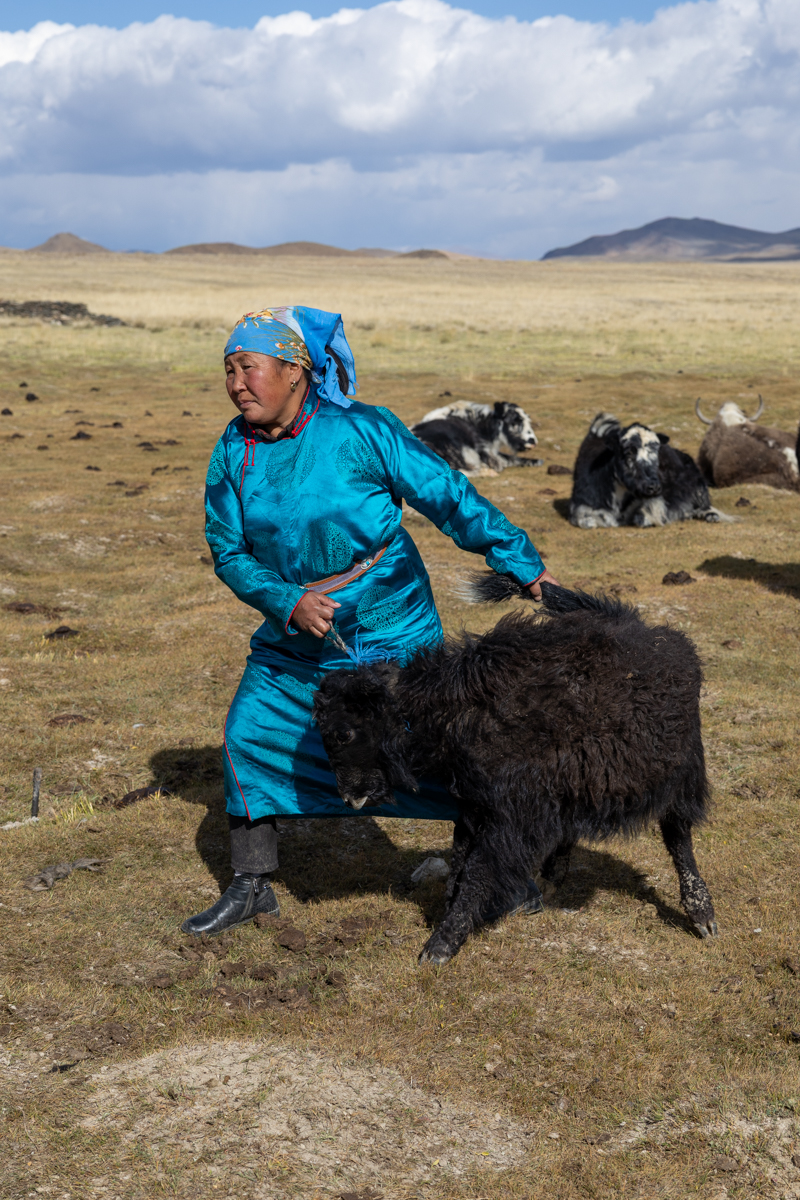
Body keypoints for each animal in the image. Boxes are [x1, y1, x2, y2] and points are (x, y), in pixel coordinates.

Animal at [313, 579, 717, 965]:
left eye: (344, 732)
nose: (349, 797)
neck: (454, 708)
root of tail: (655, 632)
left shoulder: (509, 817)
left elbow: (476, 871)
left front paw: (441, 945)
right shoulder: (477, 806)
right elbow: (460, 861)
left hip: (681, 771)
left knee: (678, 834)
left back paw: (702, 914)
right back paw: (554, 873)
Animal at [411, 400, 542, 475]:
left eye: (528, 420)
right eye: (515, 421)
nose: (533, 441)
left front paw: (538, 461)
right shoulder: (485, 451)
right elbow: (502, 462)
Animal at [569, 413, 724, 528]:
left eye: (657, 451)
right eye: (628, 452)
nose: (653, 487)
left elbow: (643, 518)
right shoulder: (580, 505)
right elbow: (587, 522)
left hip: (698, 488)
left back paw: (709, 516)